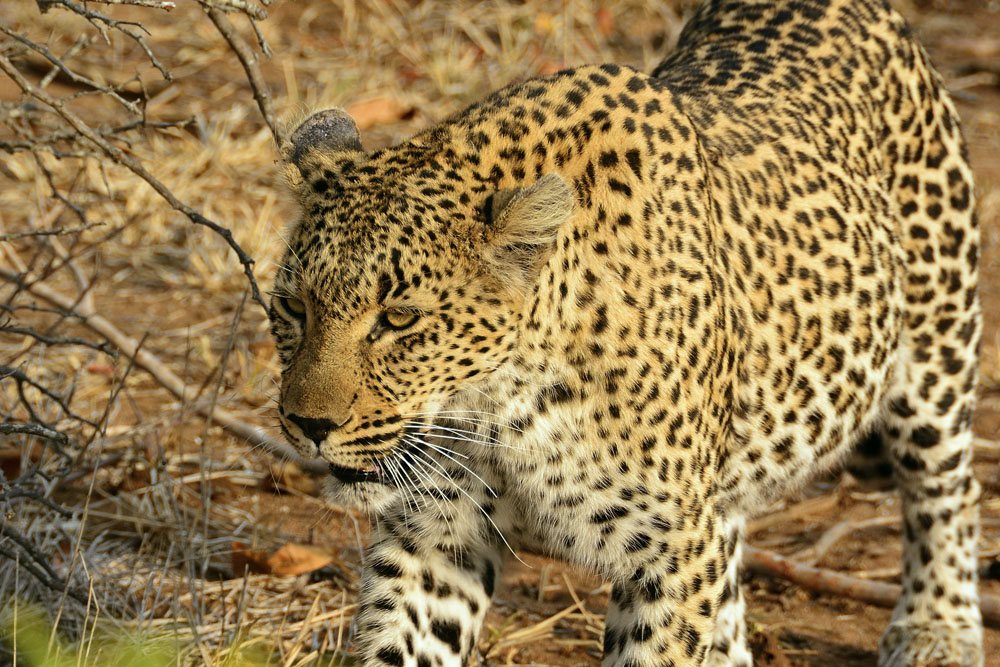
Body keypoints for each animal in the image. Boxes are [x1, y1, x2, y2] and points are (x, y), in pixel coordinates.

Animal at [268, 0, 983, 665]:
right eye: (294, 308)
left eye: (398, 319)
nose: (307, 424)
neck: (503, 405)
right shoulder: (435, 536)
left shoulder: (671, 553)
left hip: (939, 343)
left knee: (947, 486)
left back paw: (939, 626)